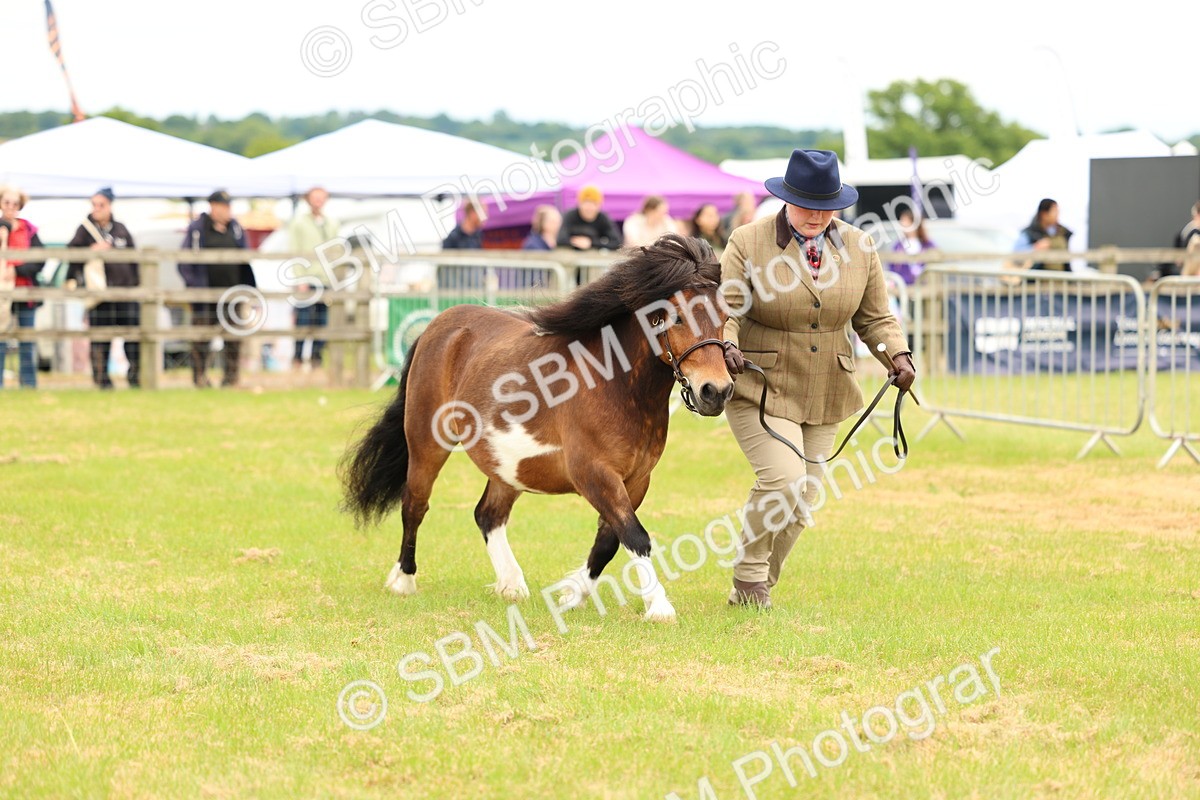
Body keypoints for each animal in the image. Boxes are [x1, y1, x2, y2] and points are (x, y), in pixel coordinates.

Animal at [340, 234, 733, 621]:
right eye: (675, 317)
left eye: (726, 316)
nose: (715, 391)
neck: (616, 384)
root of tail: (438, 326)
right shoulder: (594, 474)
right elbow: (635, 535)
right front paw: (659, 607)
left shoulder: (636, 480)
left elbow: (610, 540)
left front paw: (571, 595)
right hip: (426, 443)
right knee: (415, 504)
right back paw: (403, 580)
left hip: (507, 465)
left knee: (488, 514)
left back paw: (512, 585)